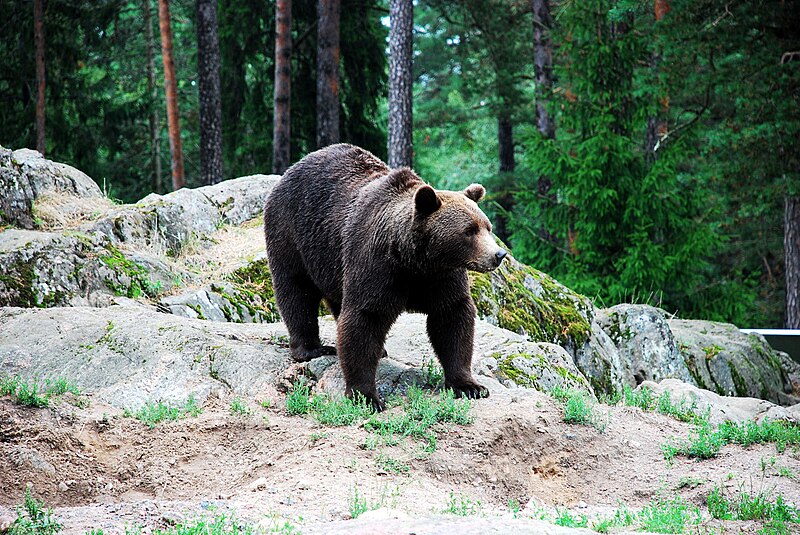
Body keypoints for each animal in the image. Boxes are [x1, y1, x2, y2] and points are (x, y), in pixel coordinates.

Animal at [264, 142, 506, 410]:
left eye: (487, 227)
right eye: (469, 231)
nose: (499, 254)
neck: (414, 261)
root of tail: (293, 168)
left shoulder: (441, 277)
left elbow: (452, 317)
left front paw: (469, 385)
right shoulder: (377, 266)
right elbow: (364, 319)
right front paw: (367, 396)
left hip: (332, 261)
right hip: (293, 233)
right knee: (297, 291)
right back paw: (311, 348)